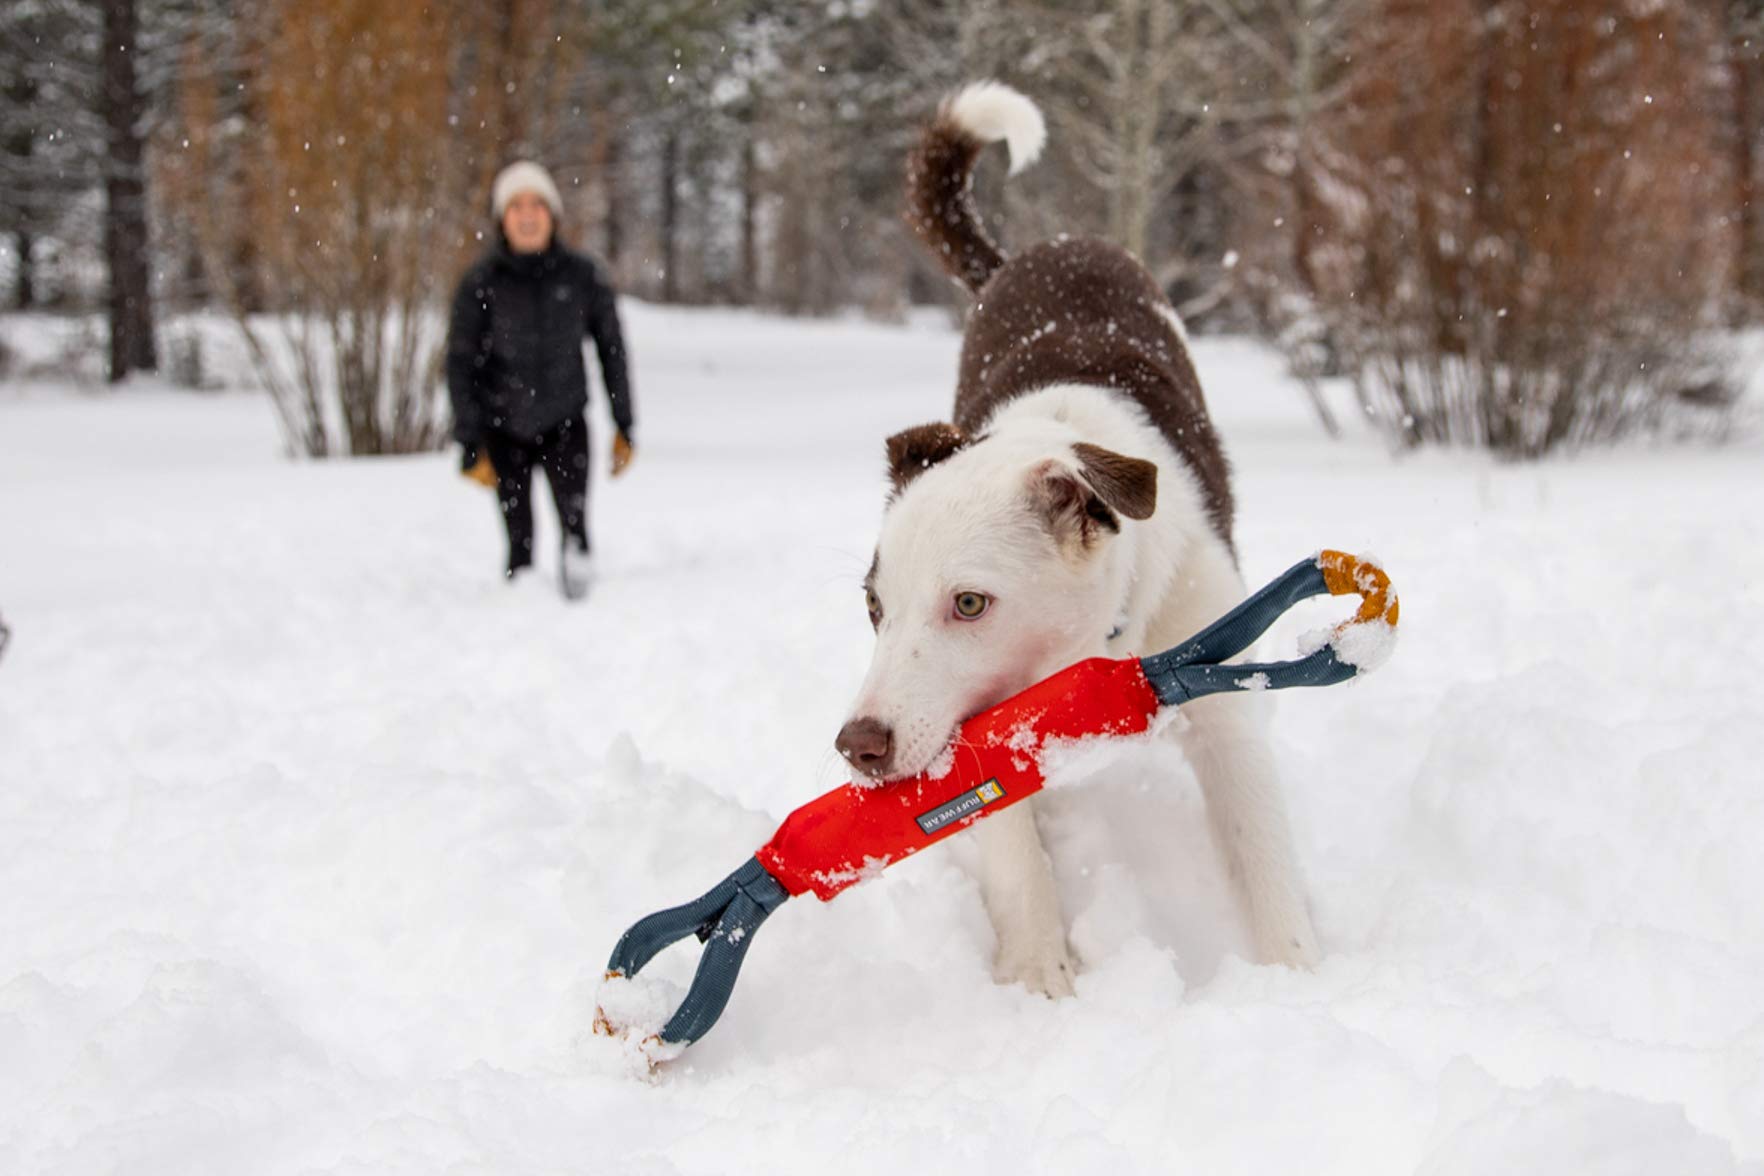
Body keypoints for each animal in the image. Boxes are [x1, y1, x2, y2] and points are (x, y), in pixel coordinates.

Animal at [832, 82, 1319, 994]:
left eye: (970, 603)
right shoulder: (984, 733)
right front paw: (1036, 974)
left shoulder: (1222, 692)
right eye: (874, 608)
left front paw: (1295, 973)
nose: (860, 746)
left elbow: (1260, 844)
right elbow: (1012, 849)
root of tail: (1040, 249)